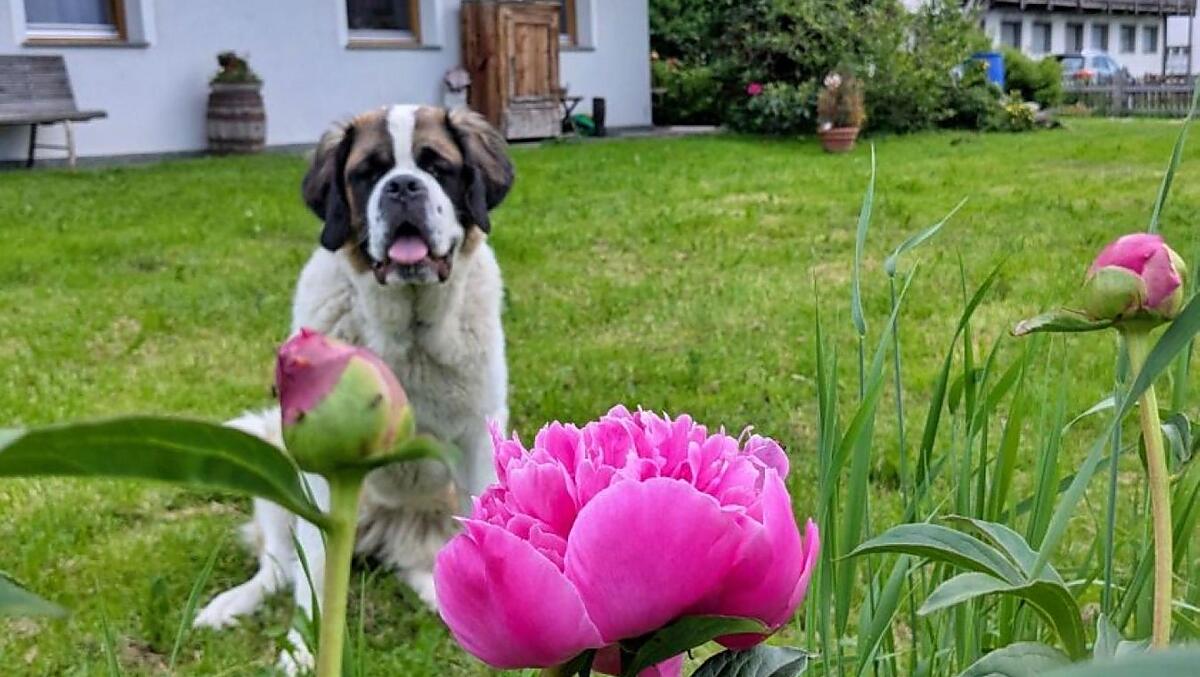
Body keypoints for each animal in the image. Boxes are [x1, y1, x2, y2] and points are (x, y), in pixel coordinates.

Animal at [193, 104, 514, 672]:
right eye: (368, 172)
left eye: (438, 166)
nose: (403, 186)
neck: (408, 333)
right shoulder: (318, 472)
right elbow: (316, 571)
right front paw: (303, 649)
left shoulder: (481, 437)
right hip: (278, 460)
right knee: (280, 567)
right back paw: (231, 603)